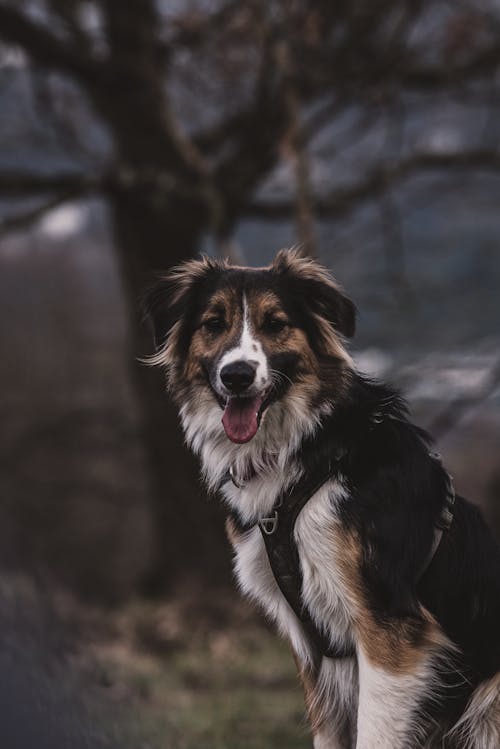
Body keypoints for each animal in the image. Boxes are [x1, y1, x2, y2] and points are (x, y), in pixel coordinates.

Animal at [145, 251, 500, 748]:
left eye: (275, 323)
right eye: (214, 324)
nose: (237, 376)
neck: (306, 454)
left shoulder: (390, 631)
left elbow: (373, 734)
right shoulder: (314, 649)